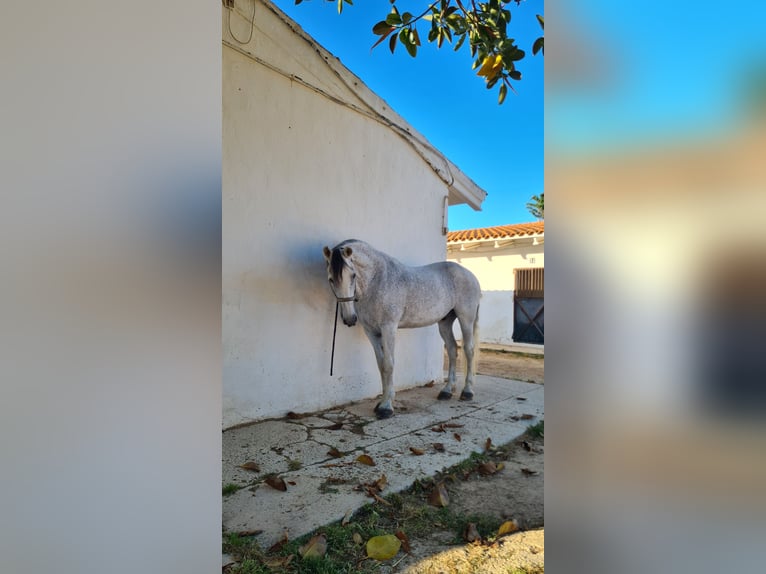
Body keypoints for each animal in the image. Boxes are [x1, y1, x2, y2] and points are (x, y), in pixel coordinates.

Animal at [322, 238, 480, 418]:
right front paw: (381, 402)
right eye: (331, 279)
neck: (377, 281)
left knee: (468, 350)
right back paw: (446, 391)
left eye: (353, 275)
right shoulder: (371, 332)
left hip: (466, 318)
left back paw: (467, 391)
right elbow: (381, 365)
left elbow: (389, 364)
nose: (349, 318)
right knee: (453, 349)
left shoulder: (389, 328)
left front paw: (386, 407)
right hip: (445, 322)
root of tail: (470, 275)